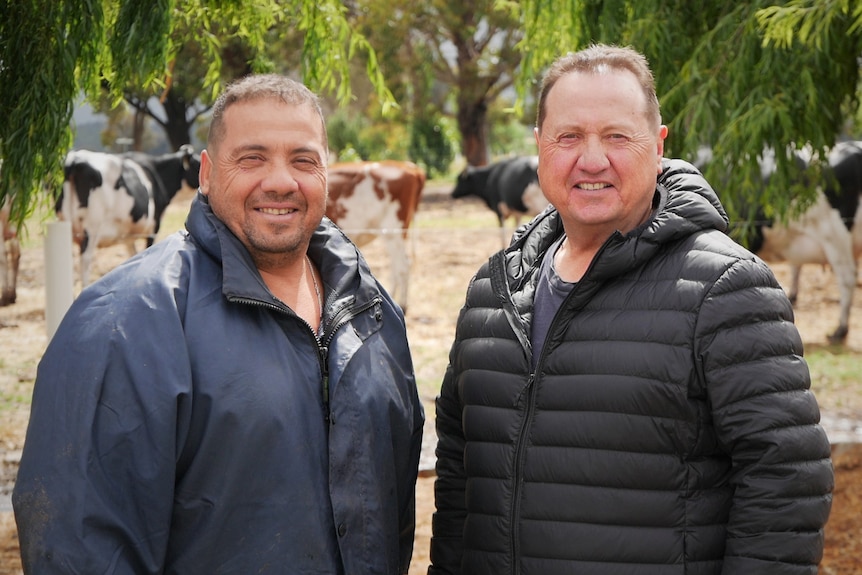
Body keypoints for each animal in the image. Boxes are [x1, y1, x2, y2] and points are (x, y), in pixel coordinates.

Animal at [56, 144, 202, 288]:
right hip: (92, 227)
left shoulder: (128, 236)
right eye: (198, 164)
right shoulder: (153, 227)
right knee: (85, 261)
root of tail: (76, 159)